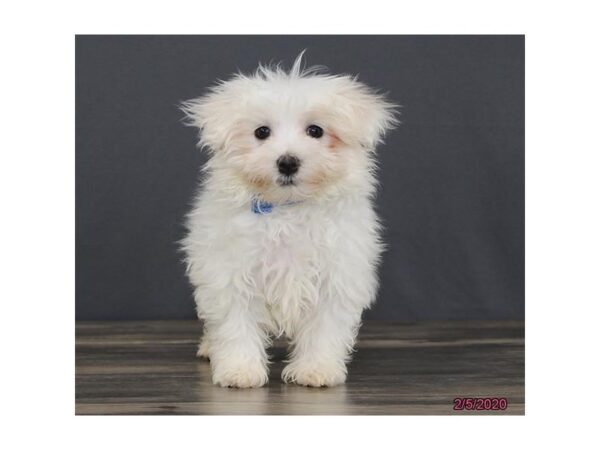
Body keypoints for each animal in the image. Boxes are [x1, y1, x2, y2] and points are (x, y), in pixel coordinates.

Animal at [180, 55, 396, 386]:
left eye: (316, 131)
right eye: (261, 132)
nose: (288, 162)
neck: (287, 208)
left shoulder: (336, 276)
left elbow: (325, 328)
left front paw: (317, 369)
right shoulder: (230, 272)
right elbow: (235, 325)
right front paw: (239, 370)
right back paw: (208, 348)